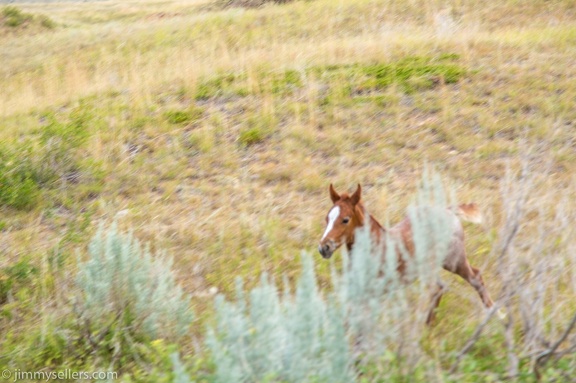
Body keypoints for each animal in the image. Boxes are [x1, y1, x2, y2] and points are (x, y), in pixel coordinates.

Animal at [318, 184, 492, 326]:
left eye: (345, 219)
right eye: (327, 218)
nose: (324, 248)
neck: (376, 247)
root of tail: (448, 211)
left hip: (454, 260)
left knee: (475, 278)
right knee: (439, 288)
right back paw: (428, 327)